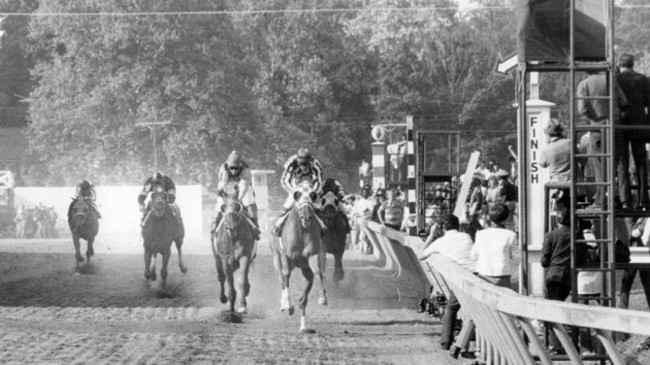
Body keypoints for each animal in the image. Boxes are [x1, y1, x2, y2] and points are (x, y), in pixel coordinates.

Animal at [270, 181, 326, 332]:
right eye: (297, 194)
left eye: (313, 195)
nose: (306, 217)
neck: (301, 231)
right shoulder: (286, 256)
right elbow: (286, 275)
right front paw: (288, 305)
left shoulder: (311, 255)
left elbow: (318, 272)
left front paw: (323, 298)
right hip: (276, 257)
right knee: (281, 278)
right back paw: (284, 304)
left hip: (305, 269)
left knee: (303, 299)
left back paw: (303, 327)